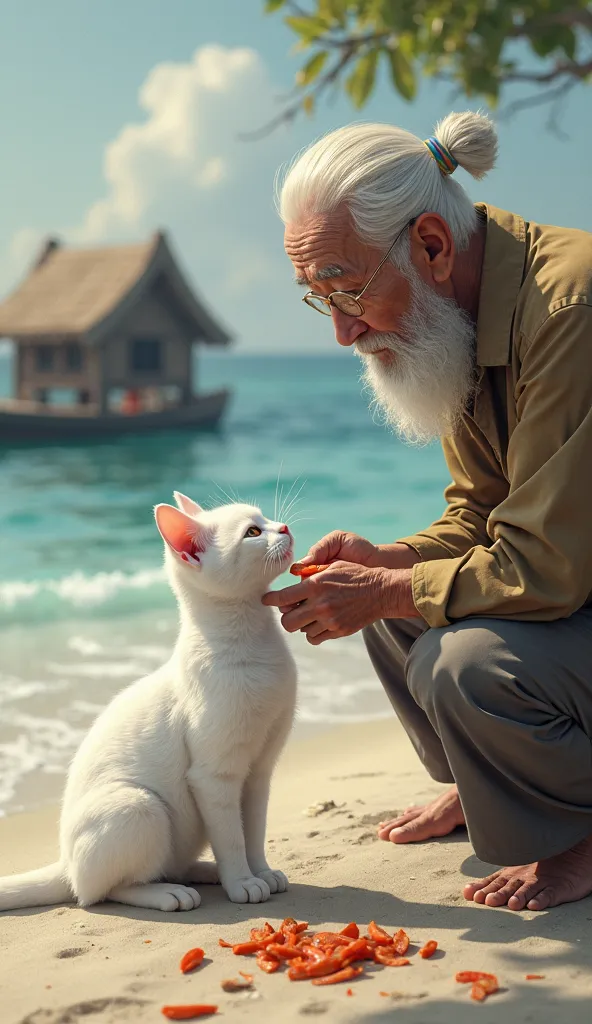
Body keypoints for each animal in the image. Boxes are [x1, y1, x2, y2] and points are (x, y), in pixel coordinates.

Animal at [0, 493, 294, 913]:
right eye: (253, 532)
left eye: (265, 519)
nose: (284, 528)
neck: (253, 643)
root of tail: (66, 863)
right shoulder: (214, 776)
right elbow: (231, 838)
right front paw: (242, 882)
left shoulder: (259, 773)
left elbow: (252, 832)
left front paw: (262, 872)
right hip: (139, 806)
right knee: (101, 892)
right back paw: (171, 892)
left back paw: (203, 871)